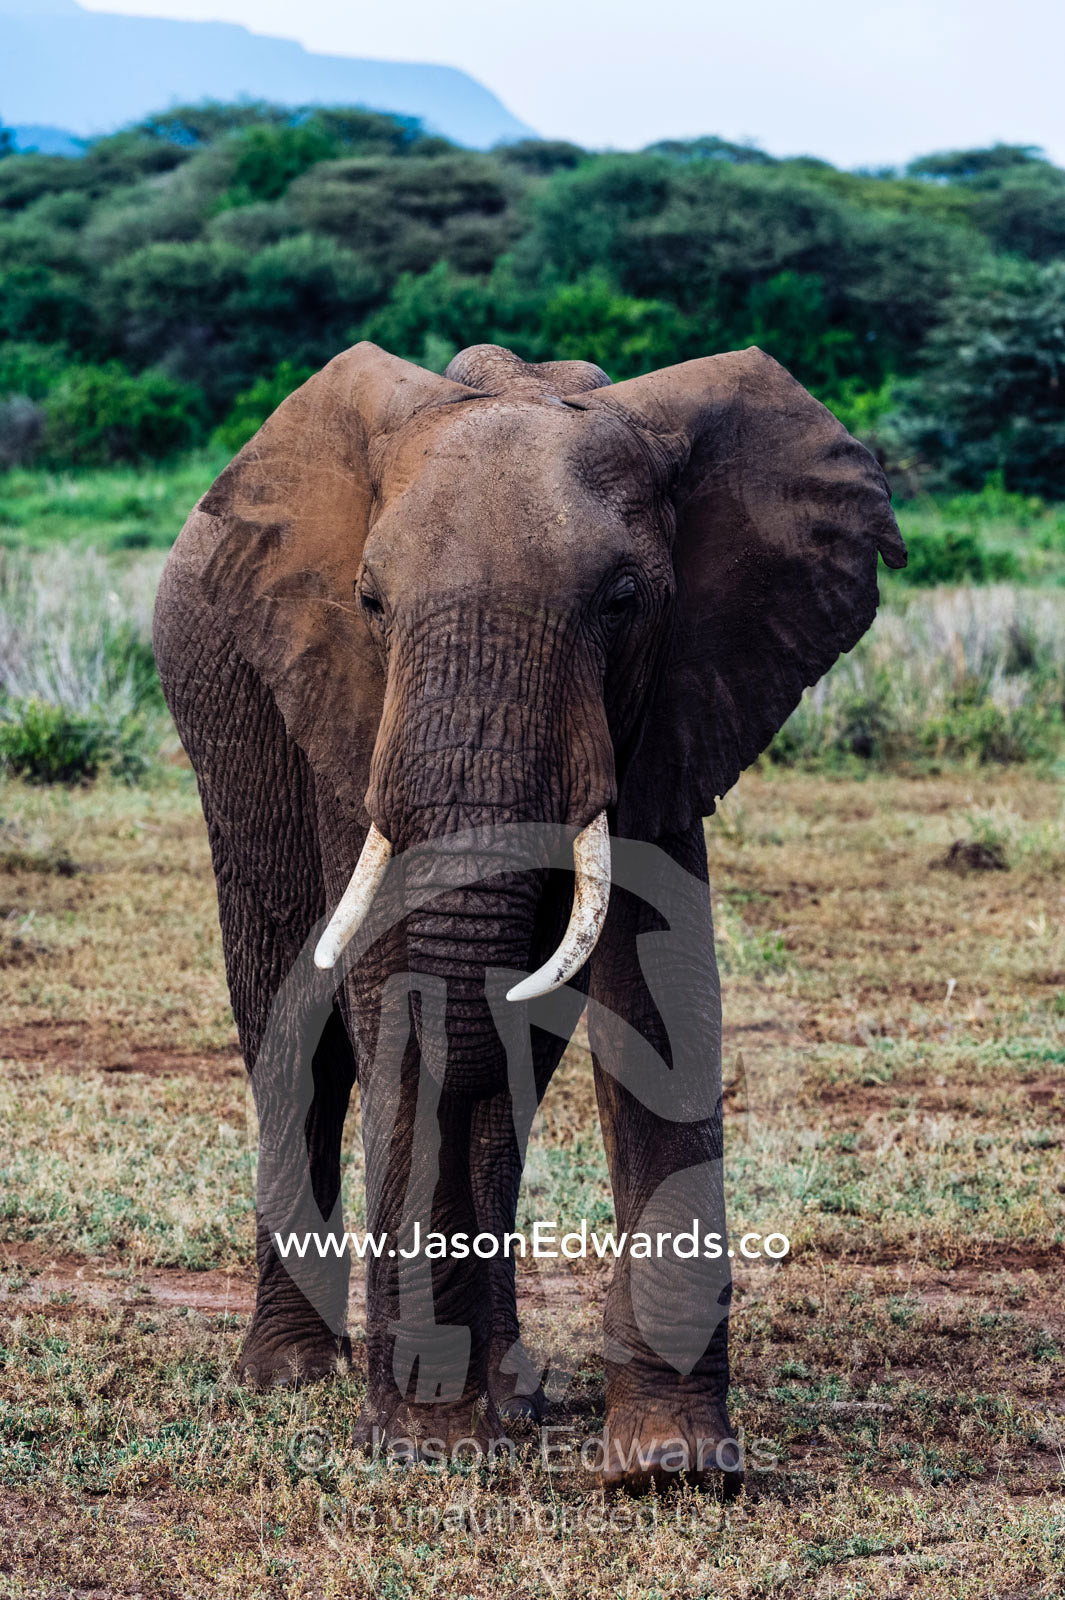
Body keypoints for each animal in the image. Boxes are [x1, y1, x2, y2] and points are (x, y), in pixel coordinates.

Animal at [153, 340, 904, 1496]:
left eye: (623, 599)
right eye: (370, 601)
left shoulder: (680, 692)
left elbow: (660, 991)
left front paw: (670, 1468)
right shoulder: (347, 698)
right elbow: (394, 990)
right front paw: (421, 1447)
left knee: (505, 1065)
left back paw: (507, 1395)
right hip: (227, 707)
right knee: (300, 1038)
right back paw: (291, 1374)